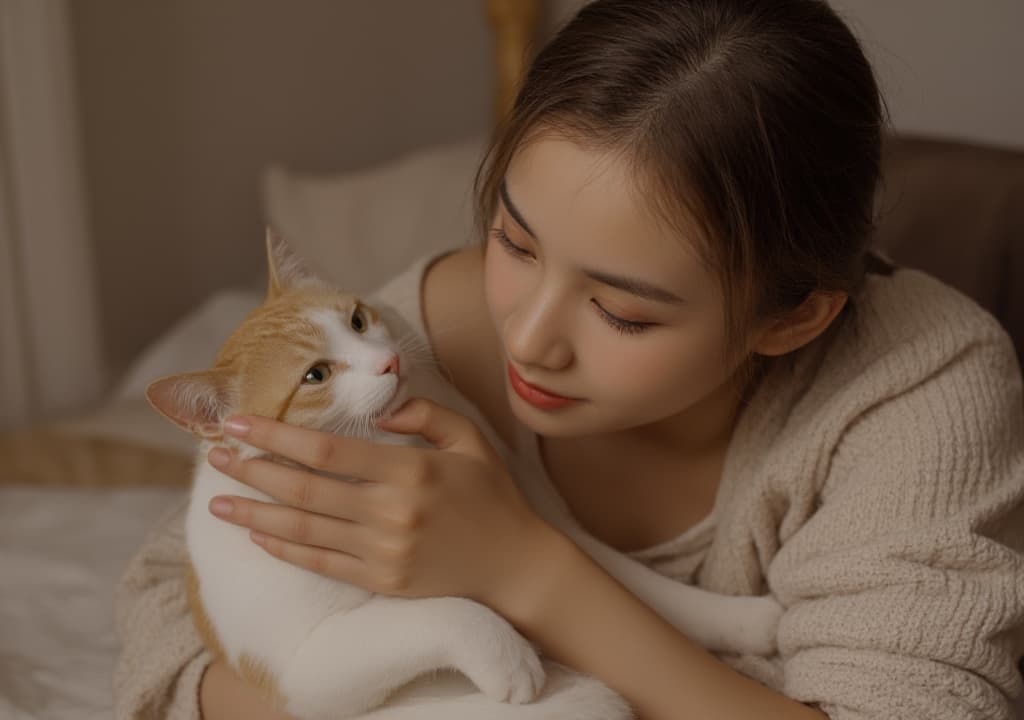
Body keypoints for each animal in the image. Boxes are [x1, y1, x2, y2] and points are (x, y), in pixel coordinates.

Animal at [146, 232, 782, 720]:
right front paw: (508, 656)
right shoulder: (306, 671)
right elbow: (440, 609)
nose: (388, 362)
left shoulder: (545, 529)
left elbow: (643, 590)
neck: (396, 453)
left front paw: (746, 621)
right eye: (315, 376)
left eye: (358, 319)